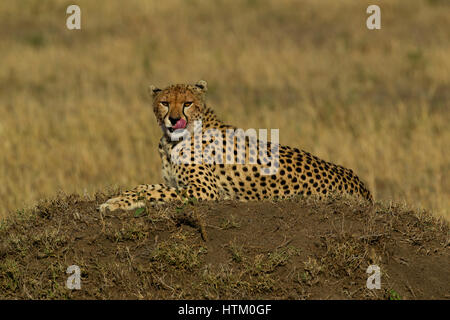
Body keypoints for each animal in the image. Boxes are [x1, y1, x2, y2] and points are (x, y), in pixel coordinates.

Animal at [99, 80, 372, 212]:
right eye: (165, 102)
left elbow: (154, 192)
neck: (170, 141)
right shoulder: (179, 183)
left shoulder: (205, 191)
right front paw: (120, 196)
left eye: (187, 103)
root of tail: (364, 189)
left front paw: (116, 203)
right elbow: (146, 186)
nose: (174, 119)